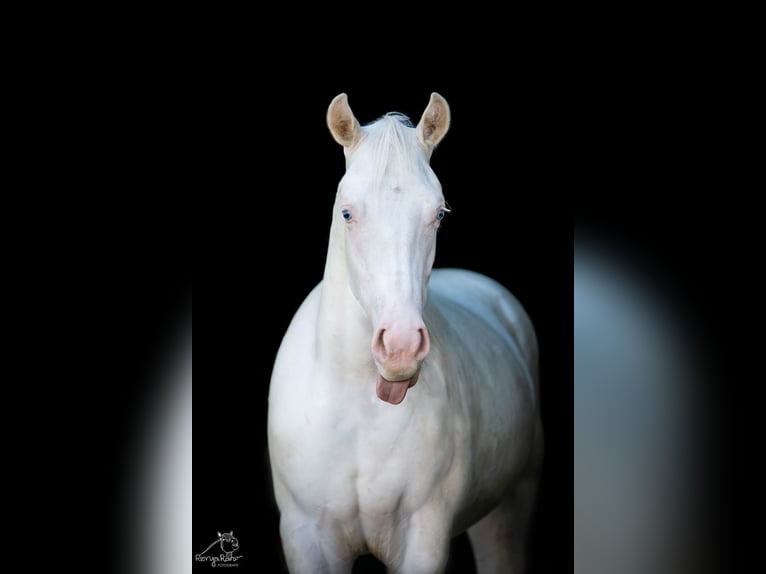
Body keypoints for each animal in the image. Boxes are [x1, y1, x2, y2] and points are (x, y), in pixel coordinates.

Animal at [267, 93, 543, 573]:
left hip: (511, 507)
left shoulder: (423, 539)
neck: (358, 402)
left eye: (439, 214)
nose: (400, 346)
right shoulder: (306, 538)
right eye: (347, 212)